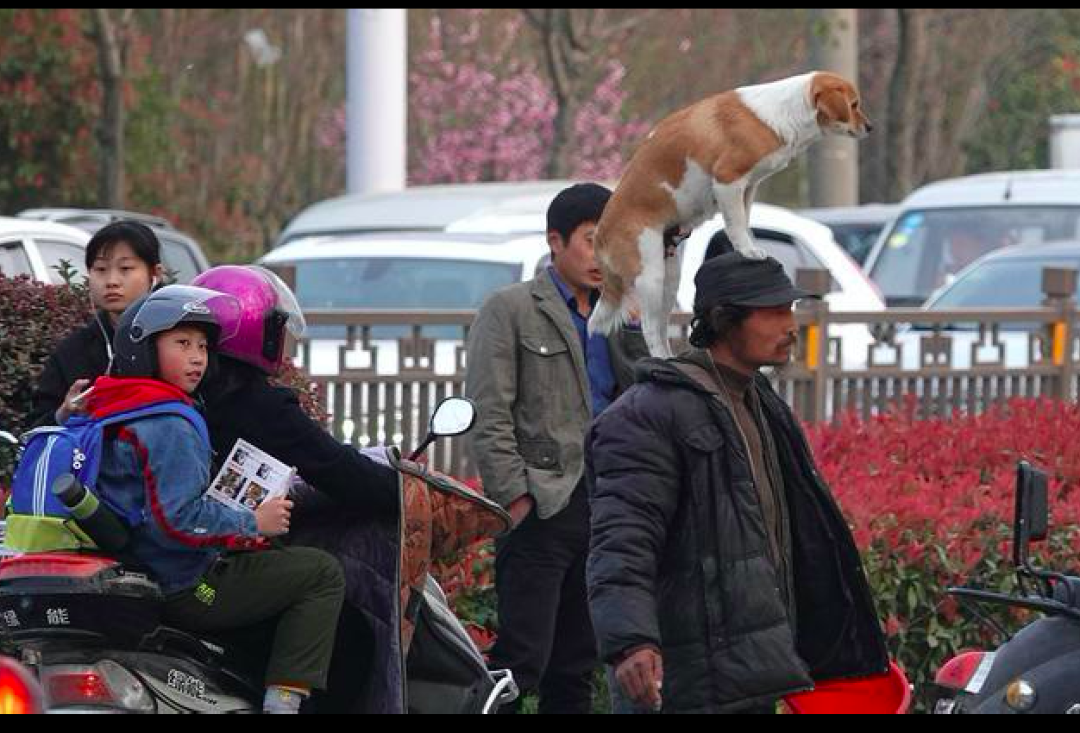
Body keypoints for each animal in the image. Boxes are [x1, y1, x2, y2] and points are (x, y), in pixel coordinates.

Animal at [587, 71, 872, 358]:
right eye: (854, 105)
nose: (870, 128)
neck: (783, 110)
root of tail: (599, 236)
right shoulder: (728, 181)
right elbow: (736, 225)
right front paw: (748, 251)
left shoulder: (748, 187)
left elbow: (744, 222)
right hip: (650, 276)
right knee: (649, 329)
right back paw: (660, 359)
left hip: (669, 277)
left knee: (660, 326)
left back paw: (669, 358)